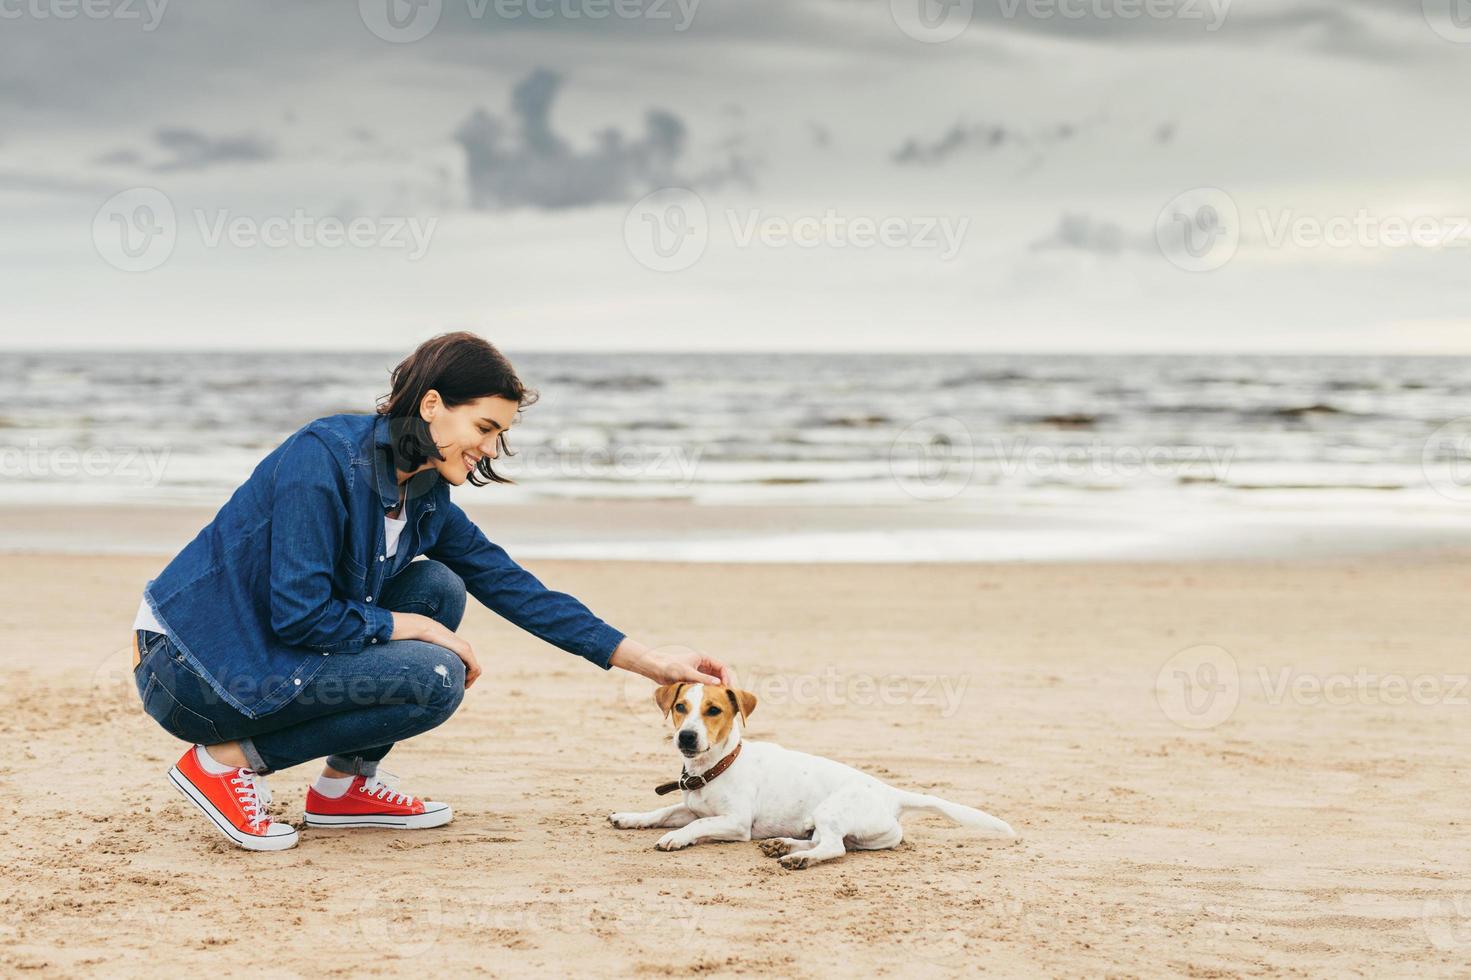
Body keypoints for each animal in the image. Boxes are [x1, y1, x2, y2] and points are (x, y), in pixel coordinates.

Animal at [606, 676, 1012, 865]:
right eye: (680, 707)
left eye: (714, 711)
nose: (686, 737)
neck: (717, 766)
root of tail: (891, 794)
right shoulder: (688, 805)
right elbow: (662, 811)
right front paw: (630, 818)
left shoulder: (735, 823)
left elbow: (697, 825)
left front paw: (676, 838)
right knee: (827, 841)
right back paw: (783, 844)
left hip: (830, 810)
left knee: (833, 848)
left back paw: (797, 858)